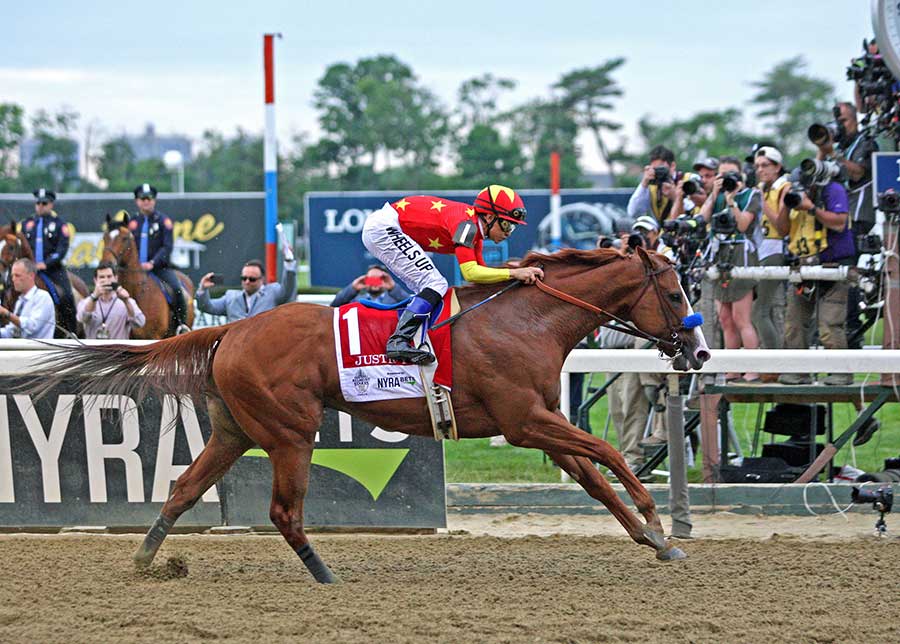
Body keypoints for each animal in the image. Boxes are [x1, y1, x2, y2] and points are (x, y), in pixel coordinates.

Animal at [33, 247, 712, 584]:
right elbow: (612, 455)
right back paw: (325, 575)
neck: (526, 321)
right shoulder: (525, 421)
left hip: (234, 431)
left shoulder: (539, 422)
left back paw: (148, 561)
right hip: (290, 431)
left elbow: (597, 478)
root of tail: (231, 328)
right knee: (283, 512)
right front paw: (660, 523)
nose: (699, 351)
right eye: (674, 289)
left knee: (181, 489)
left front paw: (655, 540)